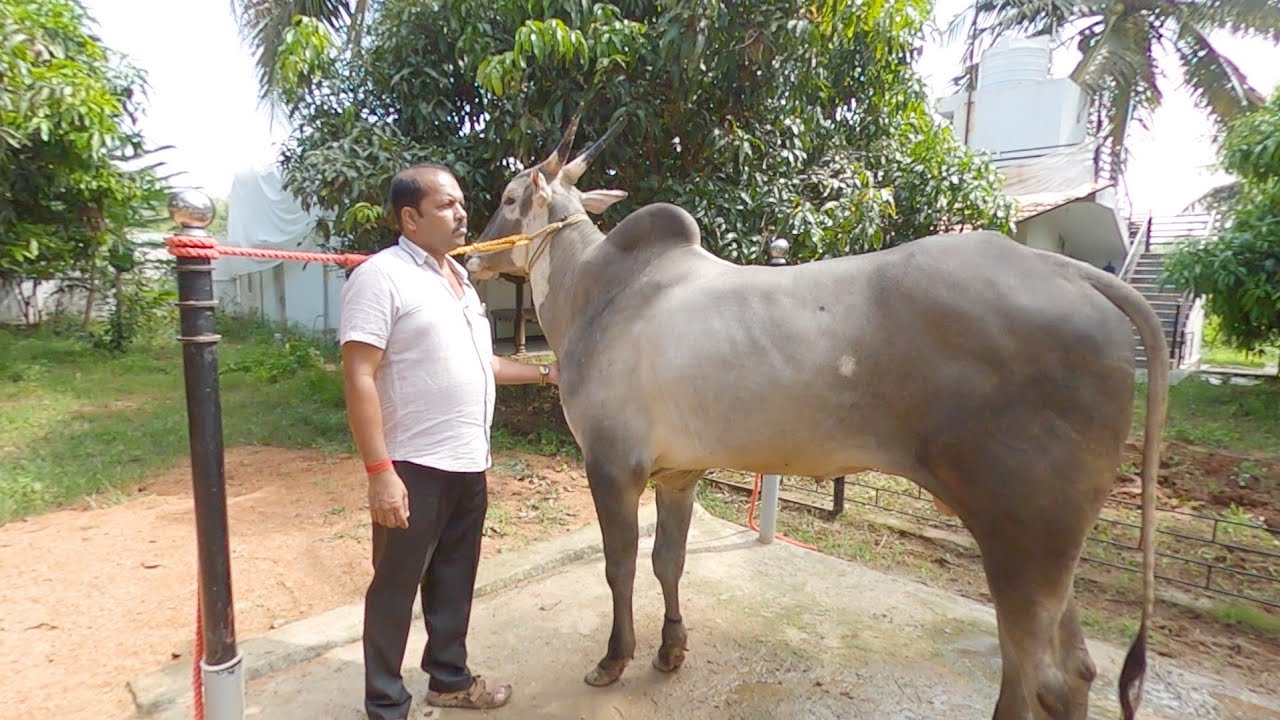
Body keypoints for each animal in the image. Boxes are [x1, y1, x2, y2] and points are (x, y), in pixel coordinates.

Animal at [463, 116, 1168, 720]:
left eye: (507, 195)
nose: (472, 257)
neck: (595, 292)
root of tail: (1065, 269)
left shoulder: (611, 465)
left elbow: (620, 565)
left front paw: (614, 660)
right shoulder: (678, 474)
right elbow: (669, 561)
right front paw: (671, 648)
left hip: (1019, 532)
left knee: (1035, 672)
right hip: (1048, 540)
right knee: (1073, 671)